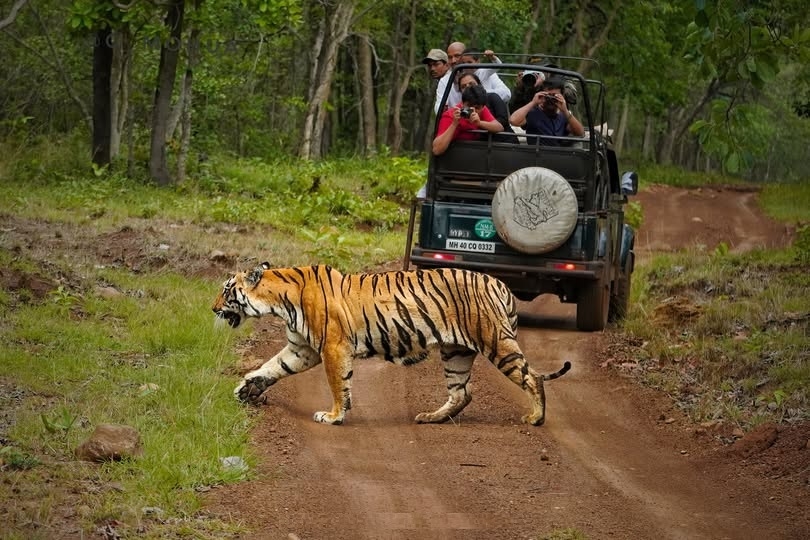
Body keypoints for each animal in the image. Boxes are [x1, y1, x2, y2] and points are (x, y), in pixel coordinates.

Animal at [212, 263, 570, 426]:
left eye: (226, 290)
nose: (213, 309)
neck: (279, 299)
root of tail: (500, 283)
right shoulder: (303, 350)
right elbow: (271, 367)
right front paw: (245, 387)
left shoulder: (332, 347)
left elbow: (338, 385)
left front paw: (334, 416)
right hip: (456, 352)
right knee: (462, 392)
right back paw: (431, 418)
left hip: (496, 341)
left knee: (532, 377)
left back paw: (535, 418)